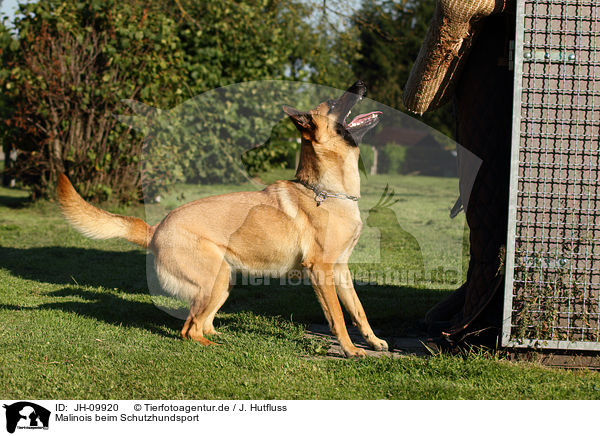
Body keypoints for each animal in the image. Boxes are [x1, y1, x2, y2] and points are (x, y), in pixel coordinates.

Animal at [58, 81, 386, 358]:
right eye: (333, 102)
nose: (361, 83)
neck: (327, 191)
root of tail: (156, 229)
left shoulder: (341, 270)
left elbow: (359, 311)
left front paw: (373, 341)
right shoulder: (321, 271)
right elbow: (339, 317)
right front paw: (350, 350)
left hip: (223, 282)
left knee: (201, 322)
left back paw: (219, 335)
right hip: (214, 281)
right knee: (188, 329)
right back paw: (213, 346)